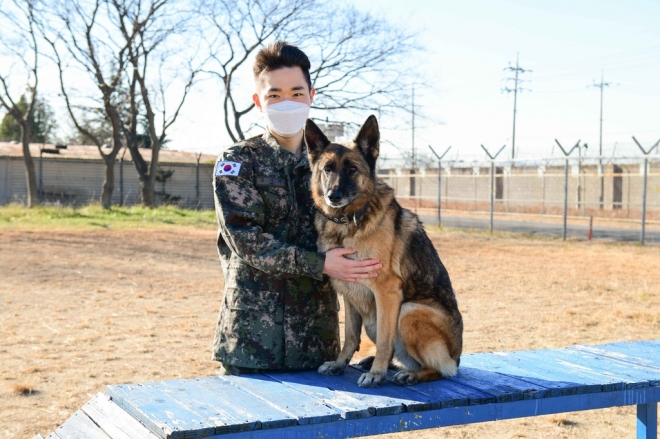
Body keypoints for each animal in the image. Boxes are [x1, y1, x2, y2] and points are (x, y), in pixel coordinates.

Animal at [306, 117, 464, 388]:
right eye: (327, 168)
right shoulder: (349, 292)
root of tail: (458, 357)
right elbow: (350, 335)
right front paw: (339, 364)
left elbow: (383, 341)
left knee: (440, 369)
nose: (333, 196)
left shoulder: (386, 293)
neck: (348, 222)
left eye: (352, 169)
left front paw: (376, 374)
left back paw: (409, 374)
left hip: (408, 311)